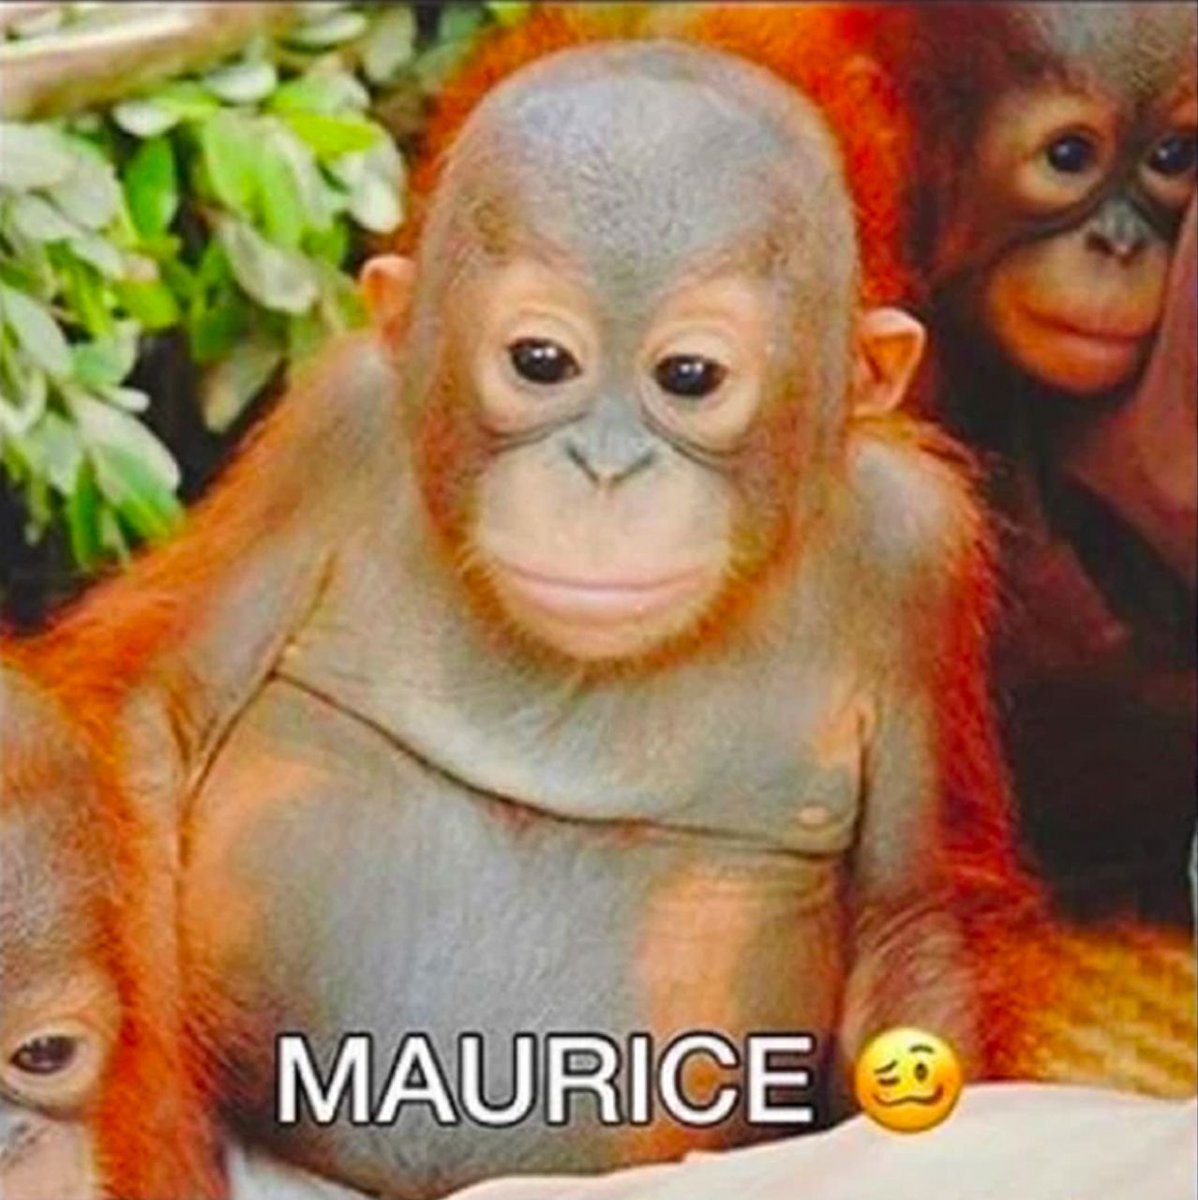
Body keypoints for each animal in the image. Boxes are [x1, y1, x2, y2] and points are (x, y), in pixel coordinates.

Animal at [22, 41, 1040, 1197]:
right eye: (541, 362)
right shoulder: (333, 433)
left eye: (689, 377)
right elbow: (156, 723)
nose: (603, 469)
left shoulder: (917, 552)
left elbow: (912, 918)